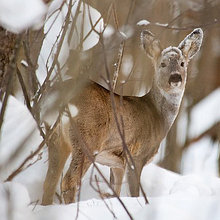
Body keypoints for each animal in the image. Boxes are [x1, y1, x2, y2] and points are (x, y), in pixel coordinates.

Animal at [42, 27, 204, 205]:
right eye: (163, 64)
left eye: (182, 63)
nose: (175, 77)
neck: (157, 117)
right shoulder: (136, 155)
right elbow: (134, 193)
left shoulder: (117, 163)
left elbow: (115, 191)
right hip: (86, 138)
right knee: (68, 181)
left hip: (57, 139)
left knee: (50, 181)